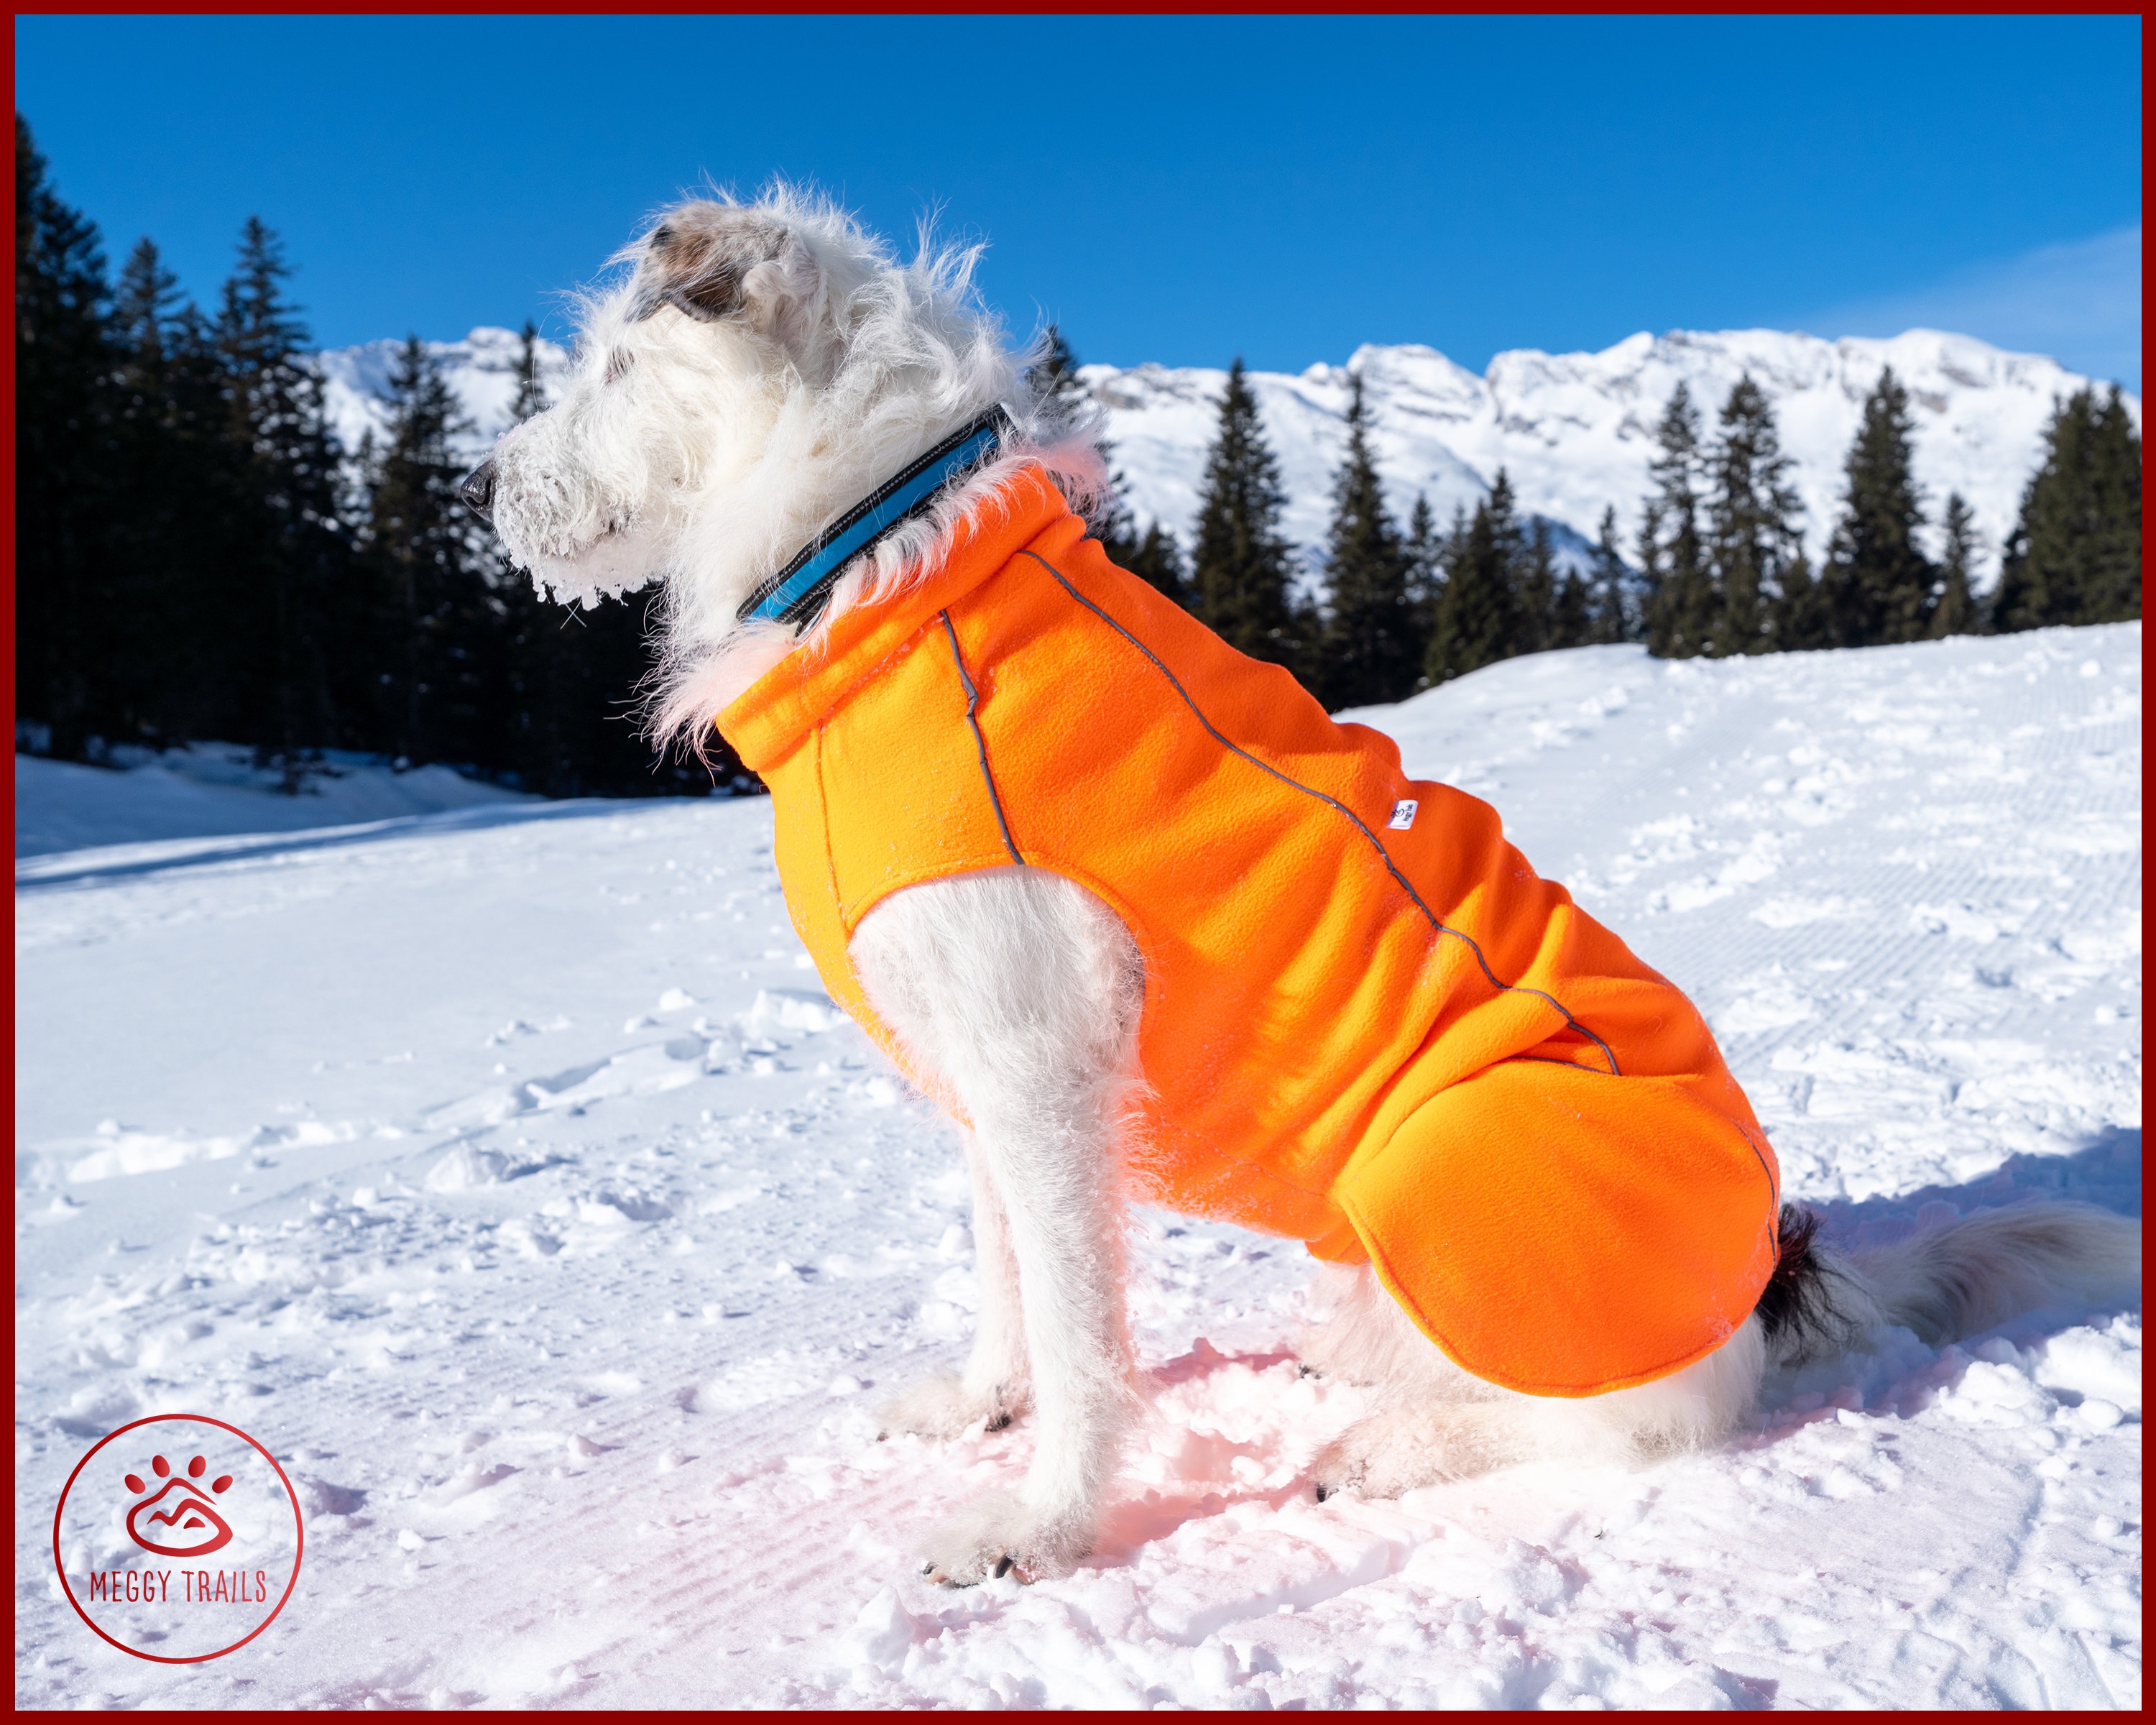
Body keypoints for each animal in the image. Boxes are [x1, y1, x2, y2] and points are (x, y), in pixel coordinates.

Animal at [468, 185, 2139, 1578]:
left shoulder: (1042, 1069)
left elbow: (1082, 1332)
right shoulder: (979, 1070)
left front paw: (1043, 1525)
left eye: (613, 364)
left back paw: (1393, 1446)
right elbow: (1008, 1276)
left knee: (1647, 1424)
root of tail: (1769, 1281)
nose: (489, 491)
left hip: (1448, 1164)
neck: (889, 554)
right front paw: (987, 1404)